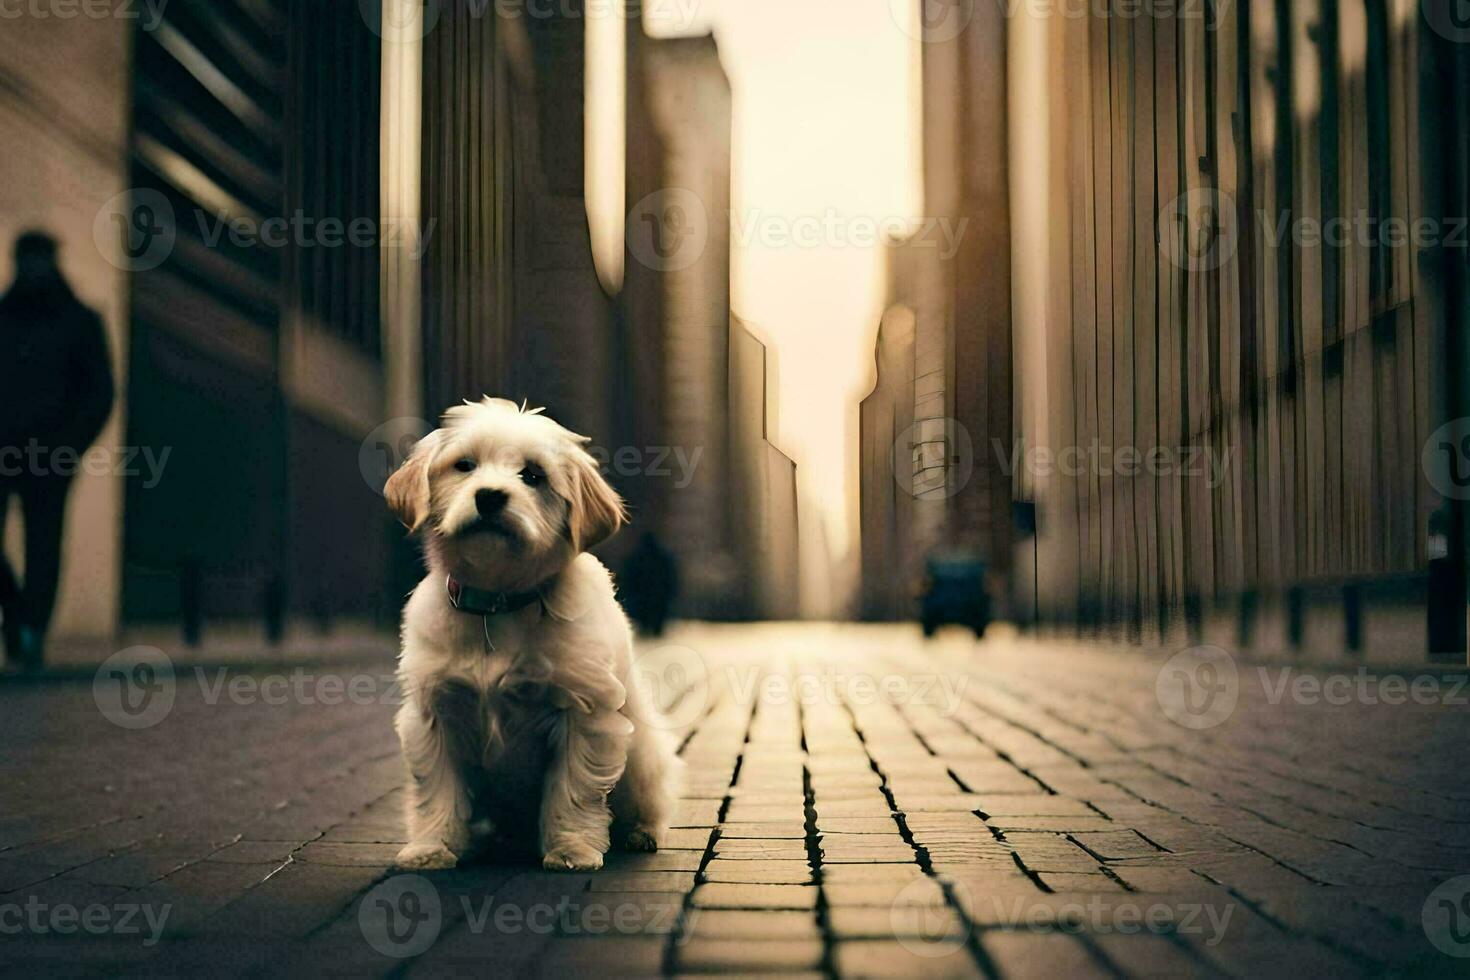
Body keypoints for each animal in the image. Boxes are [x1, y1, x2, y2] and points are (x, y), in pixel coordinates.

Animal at [379, 399, 676, 875]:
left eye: (533, 475)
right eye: (464, 465)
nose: (489, 496)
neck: (497, 601)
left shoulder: (583, 715)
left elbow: (572, 791)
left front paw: (571, 849)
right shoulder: (433, 716)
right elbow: (436, 791)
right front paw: (431, 846)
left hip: (643, 758)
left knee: (645, 803)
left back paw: (641, 833)